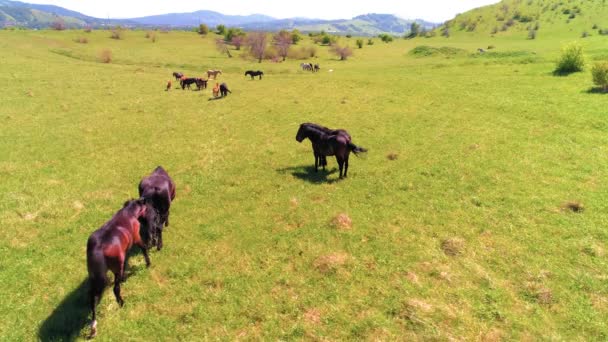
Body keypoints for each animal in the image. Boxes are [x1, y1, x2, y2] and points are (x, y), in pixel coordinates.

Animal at [88, 198, 154, 336]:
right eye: (147, 208)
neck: (128, 214)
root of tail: (98, 248)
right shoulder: (137, 238)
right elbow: (144, 249)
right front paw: (148, 263)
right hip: (115, 270)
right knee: (116, 289)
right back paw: (121, 303)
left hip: (94, 277)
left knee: (93, 298)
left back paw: (93, 326)